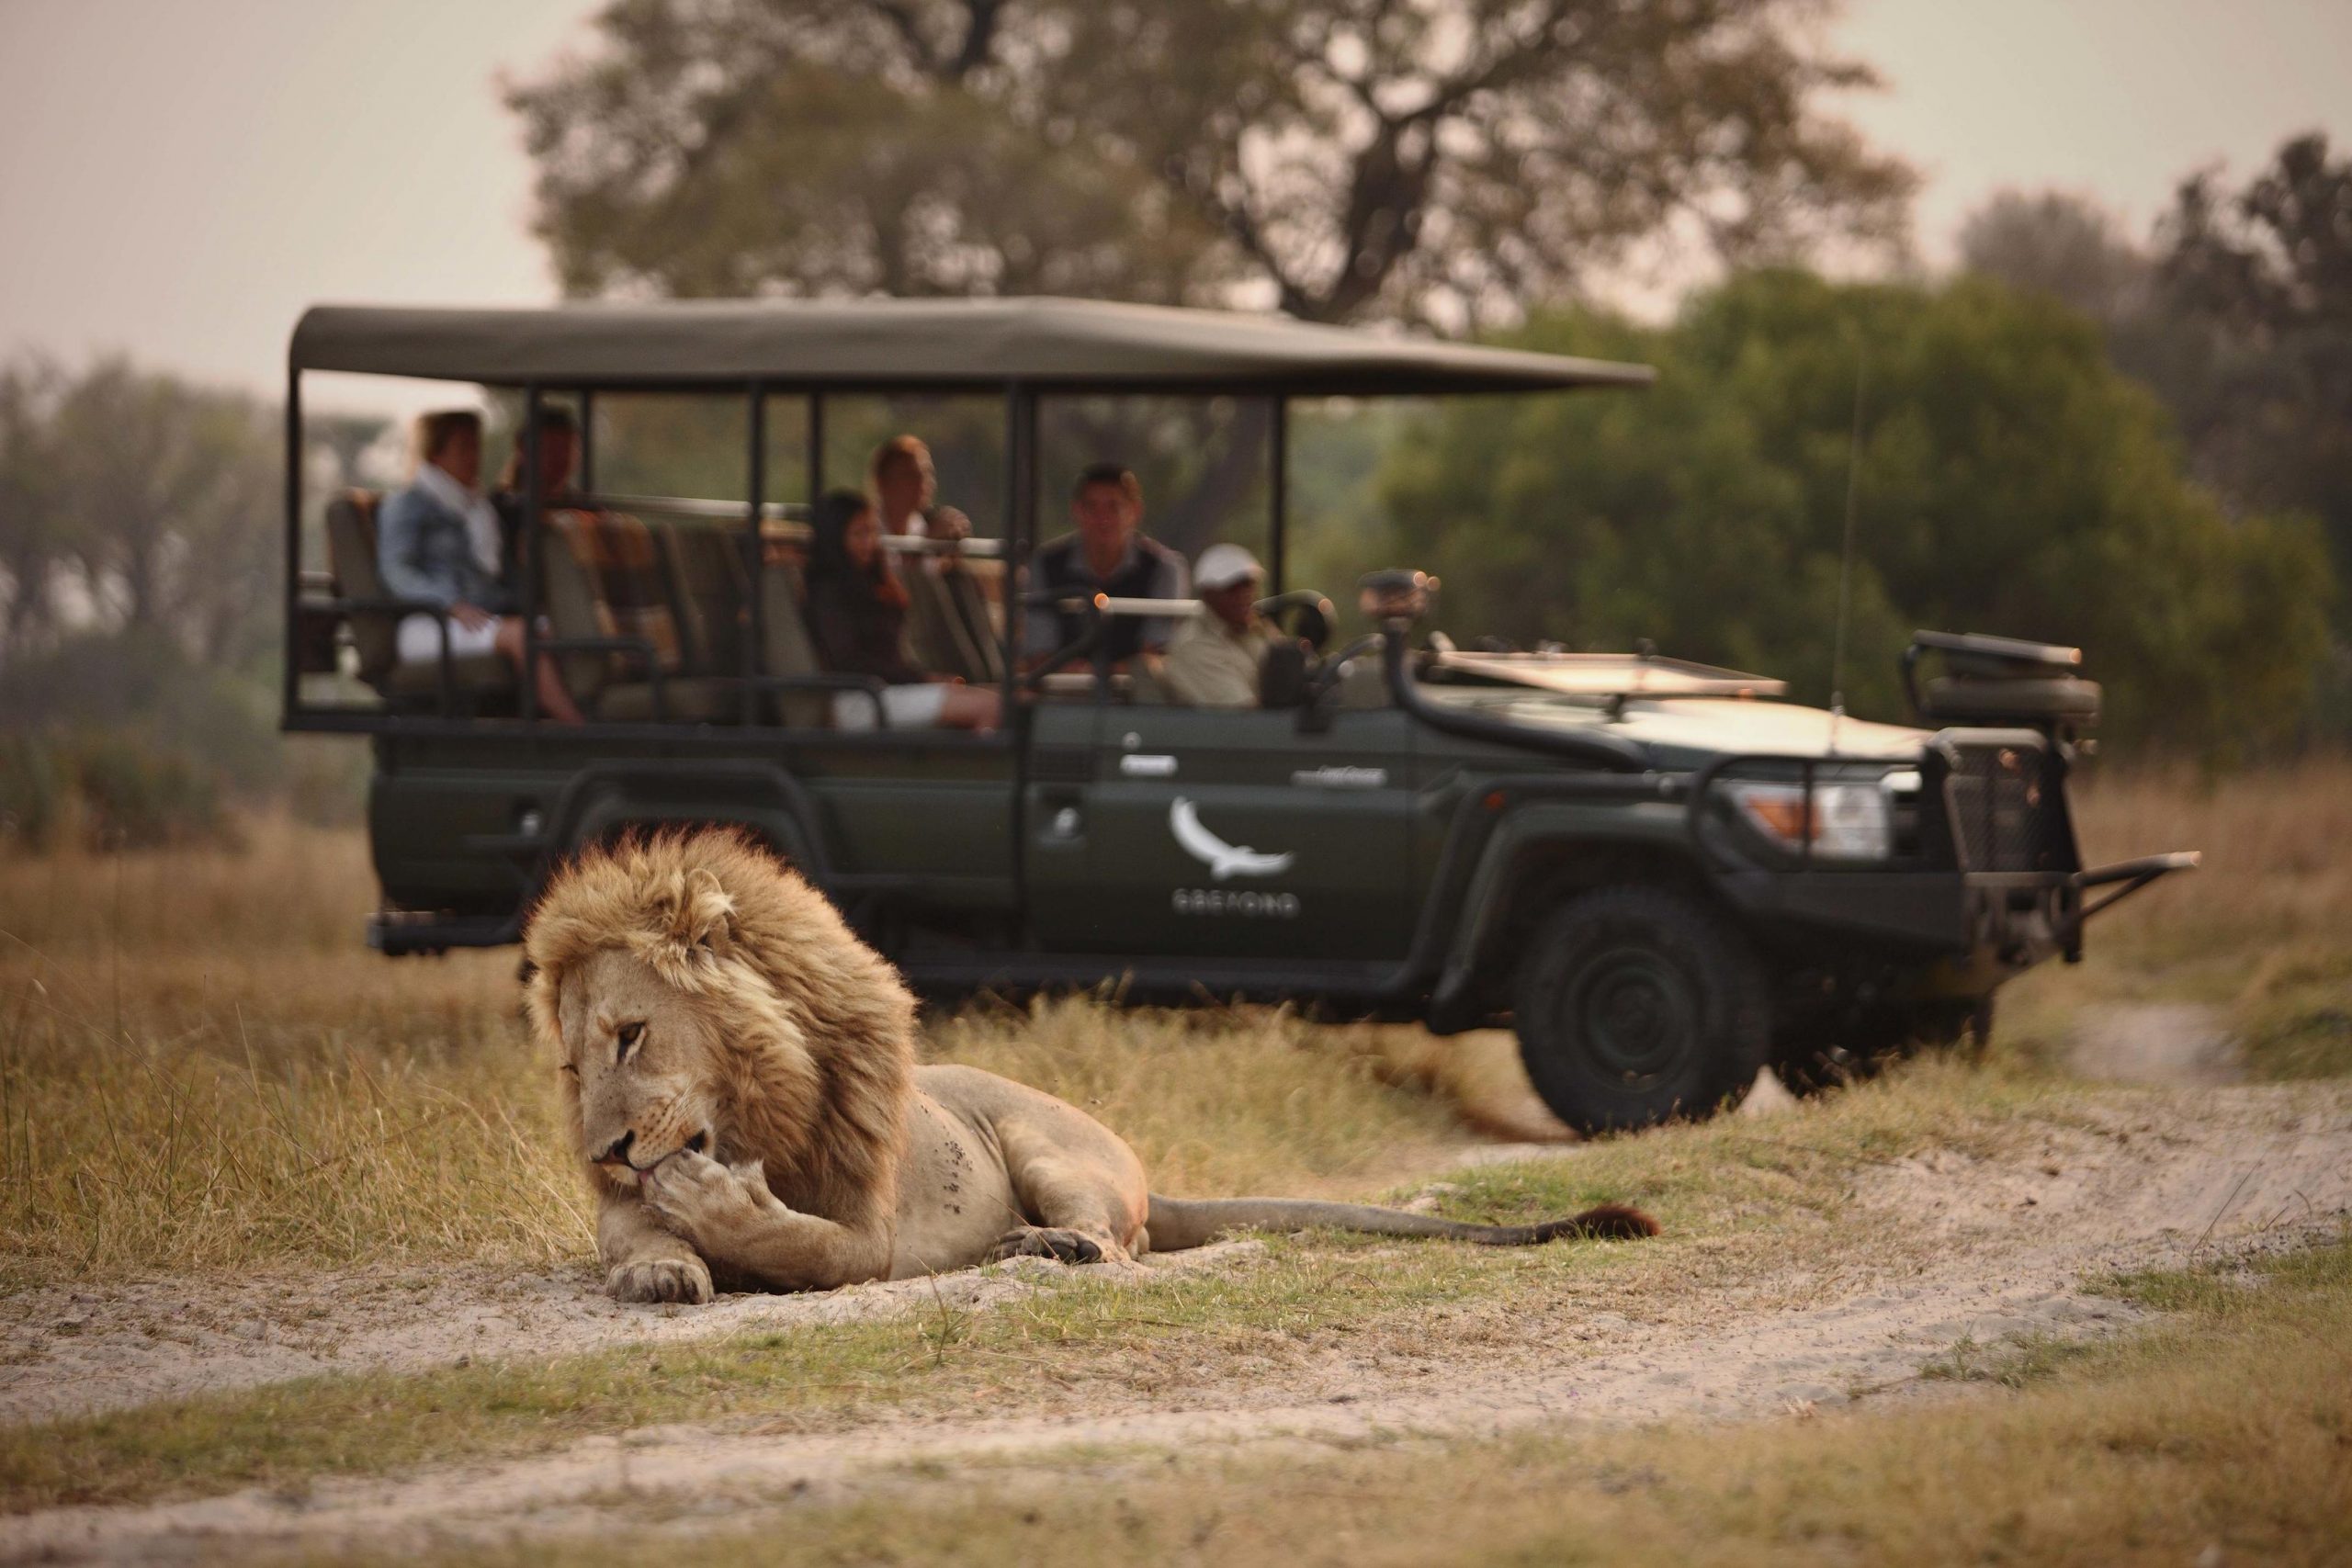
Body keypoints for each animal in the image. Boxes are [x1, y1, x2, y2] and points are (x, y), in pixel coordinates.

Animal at [524, 827, 1665, 1306]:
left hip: (1046, 1145)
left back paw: (1046, 1247)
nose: (609, 1149)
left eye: (632, 1036)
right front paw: (661, 1259)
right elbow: (627, 1234)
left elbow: (804, 1244)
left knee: (1118, 1250)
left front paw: (716, 1211)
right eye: (573, 1068)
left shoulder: (870, 1234)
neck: (750, 1111)